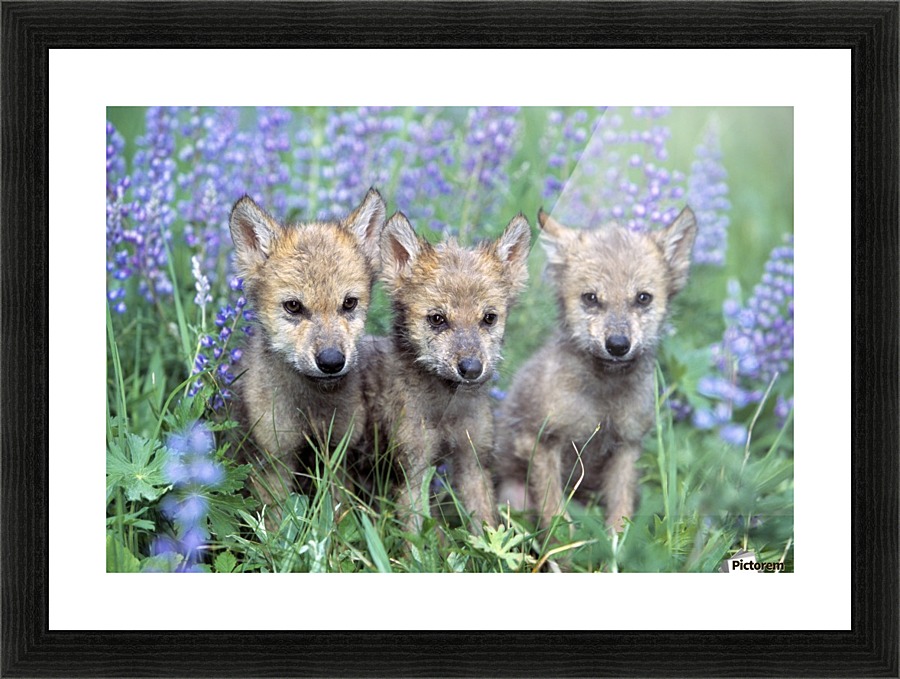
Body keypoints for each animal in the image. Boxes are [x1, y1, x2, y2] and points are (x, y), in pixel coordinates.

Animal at [229, 188, 386, 512]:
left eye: (349, 303)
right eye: (293, 306)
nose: (331, 361)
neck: (313, 409)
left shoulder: (336, 453)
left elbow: (336, 515)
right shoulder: (276, 460)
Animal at [360, 211, 531, 534]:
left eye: (489, 318)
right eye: (437, 319)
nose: (471, 369)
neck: (447, 408)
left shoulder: (473, 462)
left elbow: (486, 528)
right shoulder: (412, 471)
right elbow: (415, 537)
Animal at [494, 207, 697, 532]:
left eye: (643, 298)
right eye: (591, 298)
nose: (617, 345)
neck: (604, 399)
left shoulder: (627, 448)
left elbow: (620, 517)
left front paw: (615, 545)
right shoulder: (540, 442)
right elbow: (557, 520)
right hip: (514, 497)